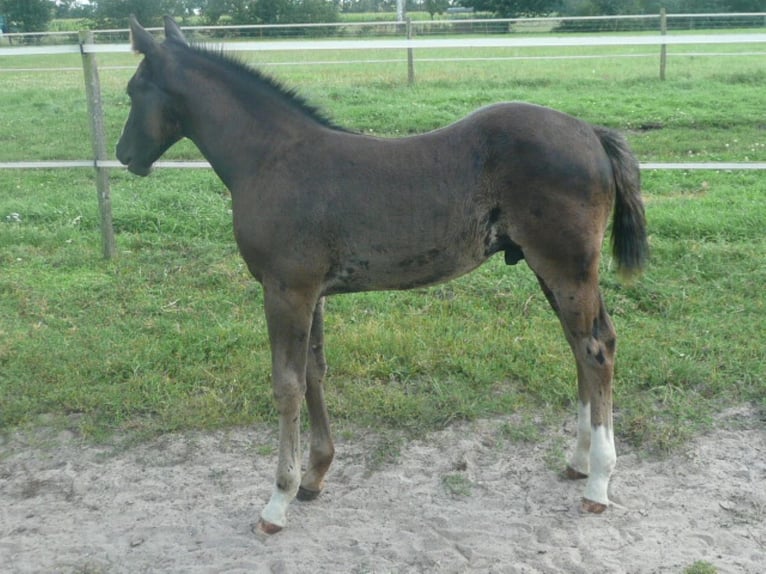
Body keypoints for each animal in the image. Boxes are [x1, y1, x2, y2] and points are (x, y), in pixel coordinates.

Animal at [118, 16, 648, 536]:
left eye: (133, 89)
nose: (124, 154)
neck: (272, 159)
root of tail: (590, 131)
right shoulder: (313, 292)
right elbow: (314, 373)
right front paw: (314, 476)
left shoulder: (285, 290)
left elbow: (287, 385)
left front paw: (277, 500)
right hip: (554, 270)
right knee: (584, 345)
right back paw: (578, 461)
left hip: (565, 267)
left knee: (596, 350)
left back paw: (598, 483)